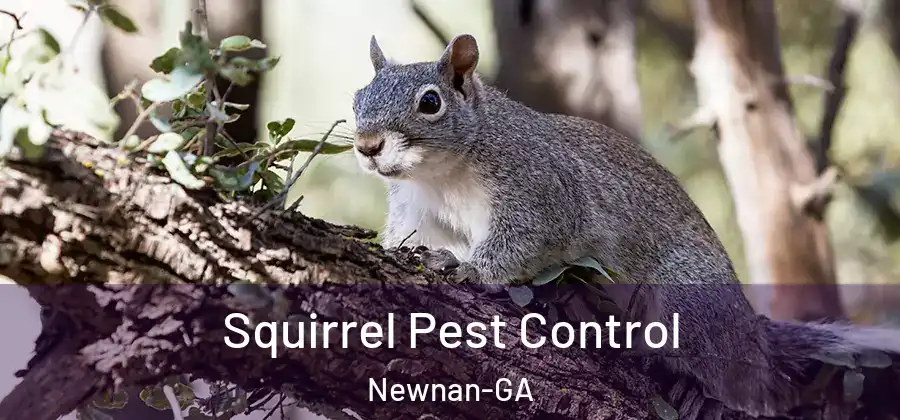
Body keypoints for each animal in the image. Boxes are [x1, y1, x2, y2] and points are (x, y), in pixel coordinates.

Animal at [351, 34, 900, 418]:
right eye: (358, 97)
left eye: (430, 103)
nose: (366, 145)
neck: (442, 173)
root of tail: (750, 332)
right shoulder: (418, 211)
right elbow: (410, 238)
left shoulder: (542, 191)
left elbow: (523, 242)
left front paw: (468, 269)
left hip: (688, 301)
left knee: (743, 384)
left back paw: (702, 392)